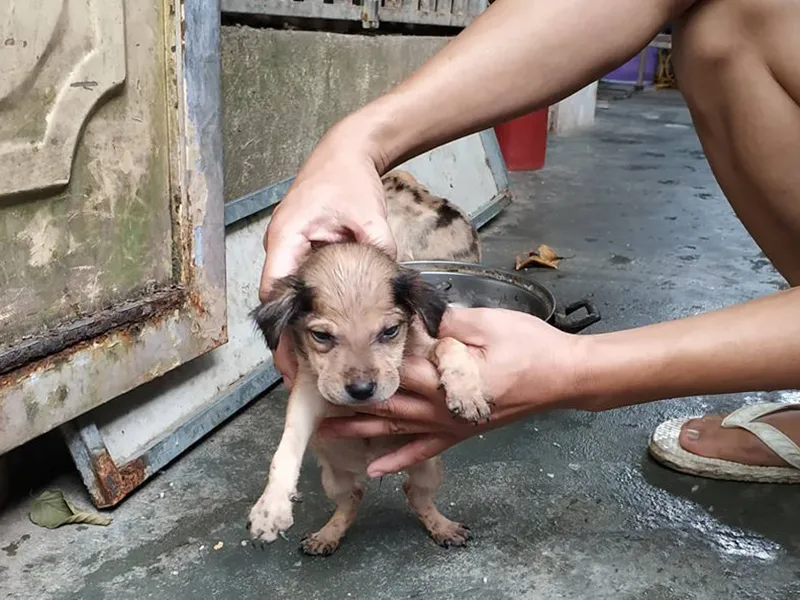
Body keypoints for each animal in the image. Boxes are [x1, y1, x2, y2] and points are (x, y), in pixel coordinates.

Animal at [247, 171, 492, 556]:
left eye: (390, 331)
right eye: (321, 336)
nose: (361, 391)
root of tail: (371, 465)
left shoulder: (424, 344)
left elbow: (451, 344)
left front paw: (467, 395)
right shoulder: (309, 392)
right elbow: (285, 448)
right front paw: (271, 508)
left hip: (428, 466)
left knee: (414, 493)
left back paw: (443, 527)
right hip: (336, 478)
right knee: (353, 498)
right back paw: (327, 535)